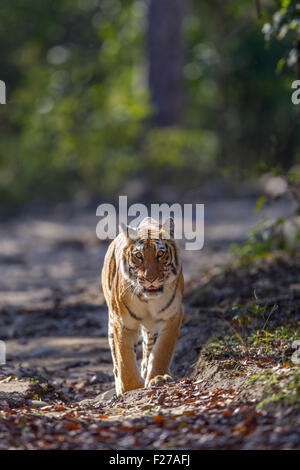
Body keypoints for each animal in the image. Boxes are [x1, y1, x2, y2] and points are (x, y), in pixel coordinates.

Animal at [102, 217, 184, 396]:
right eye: (138, 256)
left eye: (160, 254)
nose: (150, 278)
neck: (148, 301)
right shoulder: (123, 322)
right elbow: (124, 358)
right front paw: (130, 387)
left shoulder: (172, 317)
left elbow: (162, 351)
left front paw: (158, 377)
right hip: (111, 321)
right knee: (116, 360)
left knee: (148, 351)